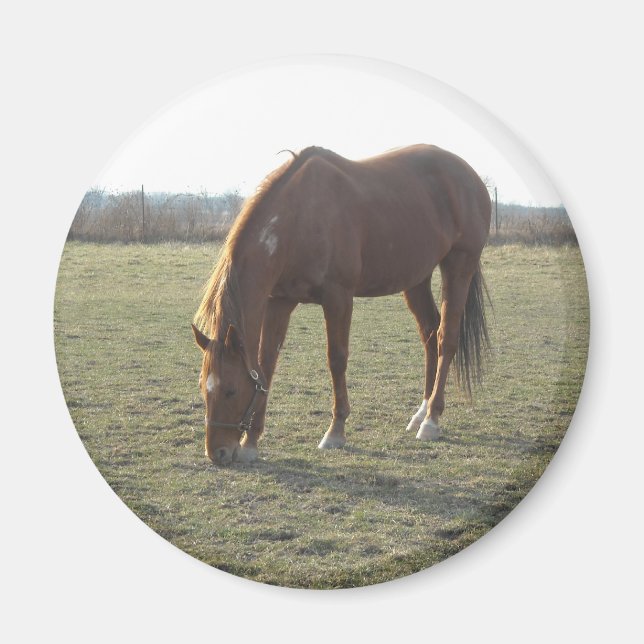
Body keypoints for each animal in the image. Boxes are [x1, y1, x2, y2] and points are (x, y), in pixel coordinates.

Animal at [192, 144, 491, 464]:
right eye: (203, 388)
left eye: (231, 391)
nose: (218, 453)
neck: (300, 217)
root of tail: (470, 177)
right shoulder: (279, 302)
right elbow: (266, 364)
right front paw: (251, 442)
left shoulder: (338, 298)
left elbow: (336, 359)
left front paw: (335, 431)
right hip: (417, 279)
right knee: (430, 334)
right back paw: (420, 412)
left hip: (459, 266)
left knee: (447, 338)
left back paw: (431, 421)